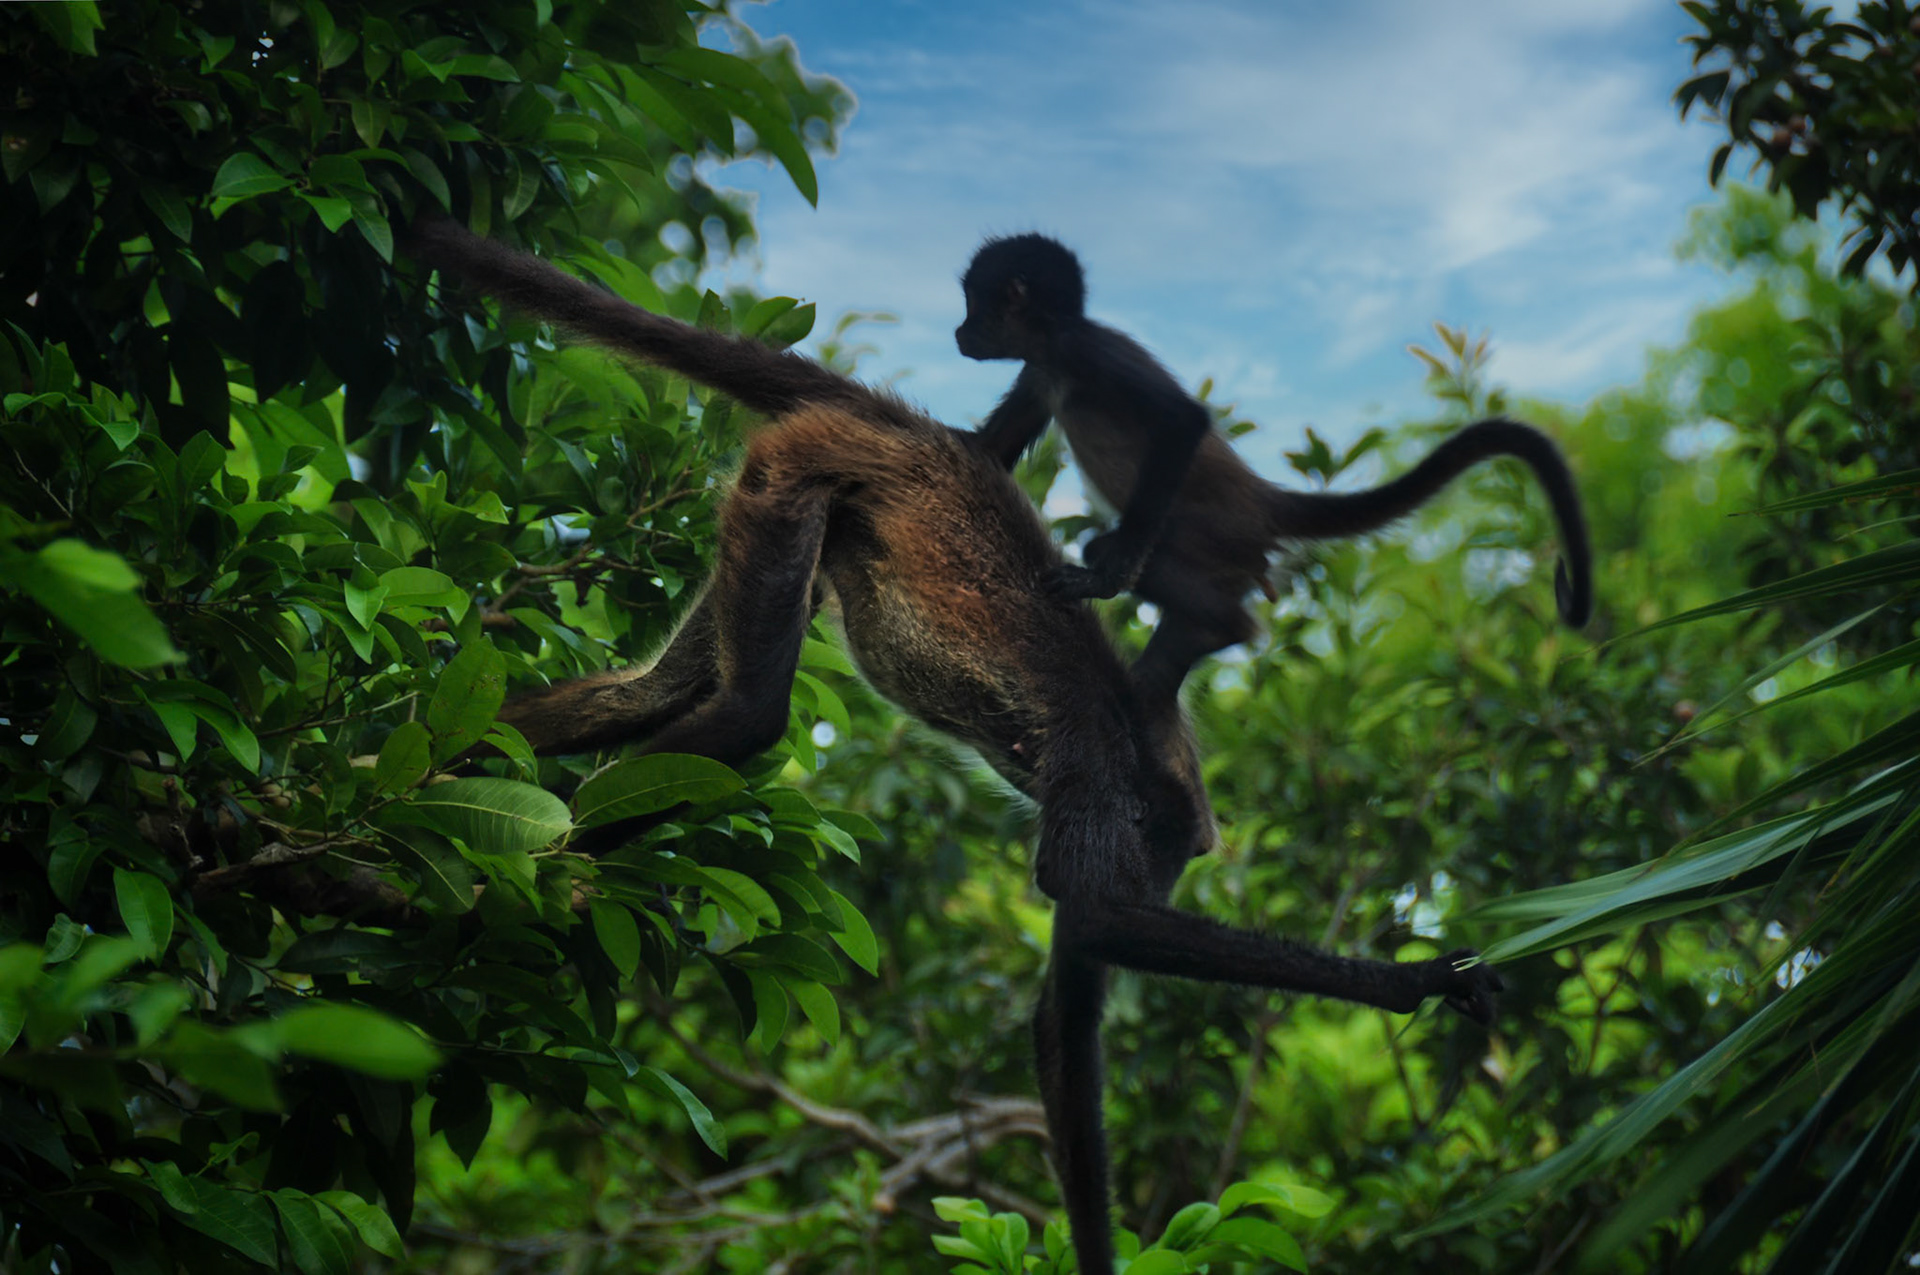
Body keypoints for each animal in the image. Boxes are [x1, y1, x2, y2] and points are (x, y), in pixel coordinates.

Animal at [404, 217, 1505, 1275]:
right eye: (1172, 852)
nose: (1171, 880)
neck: (1139, 737)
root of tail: (906, 427)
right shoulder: (1092, 759)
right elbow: (1095, 917)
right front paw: (1418, 982)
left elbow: (1067, 1003)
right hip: (789, 479)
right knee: (748, 713)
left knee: (650, 695)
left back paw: (415, 788)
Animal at [955, 233, 1594, 696]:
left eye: (972, 304)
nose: (959, 331)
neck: (1055, 345)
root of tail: (1260, 498)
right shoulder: (1042, 371)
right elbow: (986, 450)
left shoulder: (1084, 353)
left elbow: (1183, 420)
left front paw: (1107, 580)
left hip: (1214, 532)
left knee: (1123, 548)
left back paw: (1215, 624)